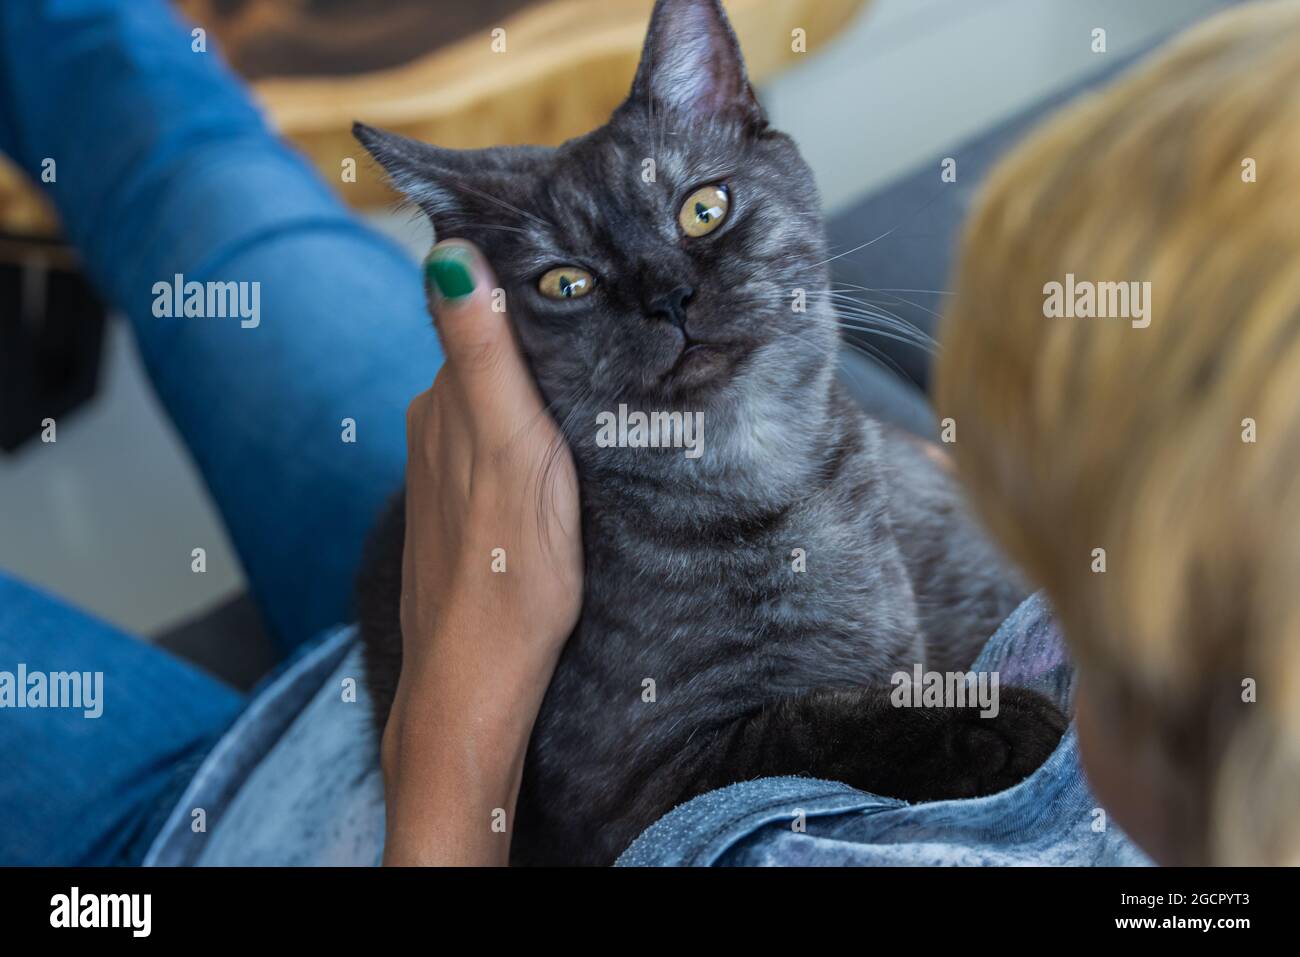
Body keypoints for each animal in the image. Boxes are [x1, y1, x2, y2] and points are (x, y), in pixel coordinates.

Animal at [351, 0, 1060, 868]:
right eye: (566, 282)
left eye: (704, 208)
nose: (668, 296)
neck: (757, 469)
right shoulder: (639, 789)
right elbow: (808, 728)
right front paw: (993, 725)